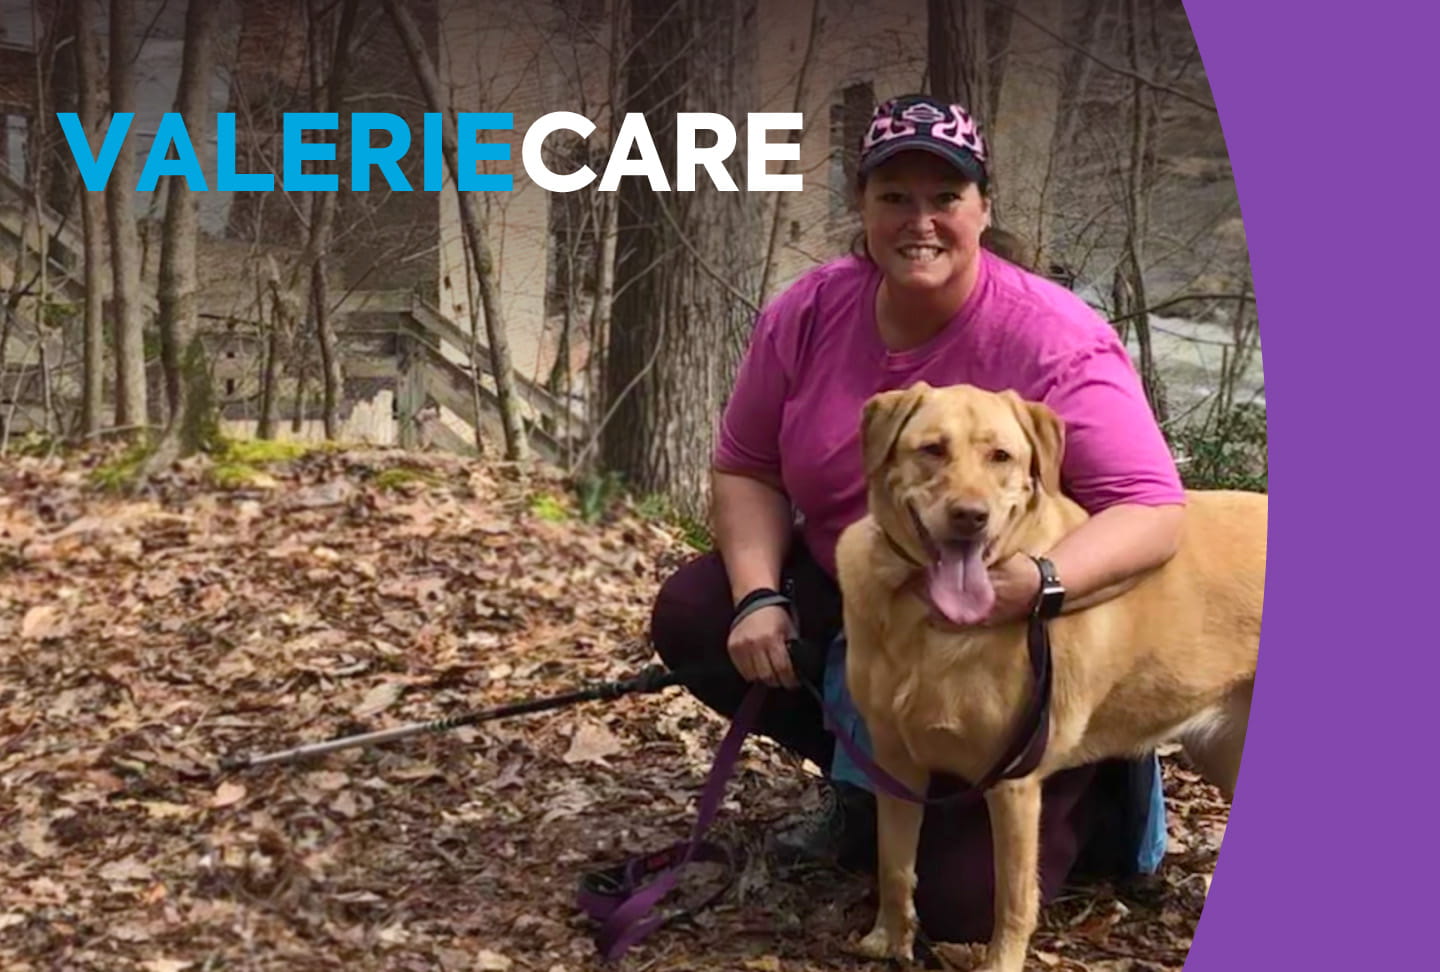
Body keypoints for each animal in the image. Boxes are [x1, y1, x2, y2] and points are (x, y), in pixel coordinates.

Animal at [835, 383, 1261, 972]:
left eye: (1001, 456)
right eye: (933, 450)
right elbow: (894, 863)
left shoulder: (1013, 783)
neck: (923, 621)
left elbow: (1012, 899)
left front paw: (999, 964)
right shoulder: (895, 760)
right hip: (1225, 752)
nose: (971, 517)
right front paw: (888, 941)